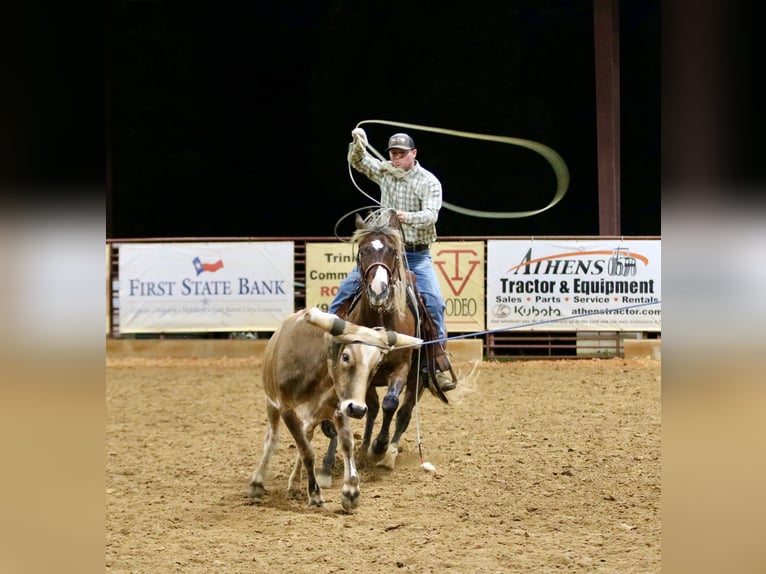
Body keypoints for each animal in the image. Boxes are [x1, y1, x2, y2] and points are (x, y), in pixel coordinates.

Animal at [246, 307, 422, 511]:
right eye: (345, 356)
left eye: (377, 364)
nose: (359, 409)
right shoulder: (287, 410)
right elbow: (306, 451)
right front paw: (315, 495)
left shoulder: (340, 407)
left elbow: (345, 444)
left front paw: (351, 490)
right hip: (272, 404)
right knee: (273, 439)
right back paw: (257, 483)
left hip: (313, 417)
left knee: (306, 436)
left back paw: (295, 484)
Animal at [318, 209, 451, 480]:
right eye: (362, 251)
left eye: (391, 252)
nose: (378, 291)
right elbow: (365, 407)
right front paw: (360, 449)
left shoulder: (401, 367)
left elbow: (390, 404)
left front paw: (379, 447)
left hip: (418, 380)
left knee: (403, 413)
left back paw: (387, 455)